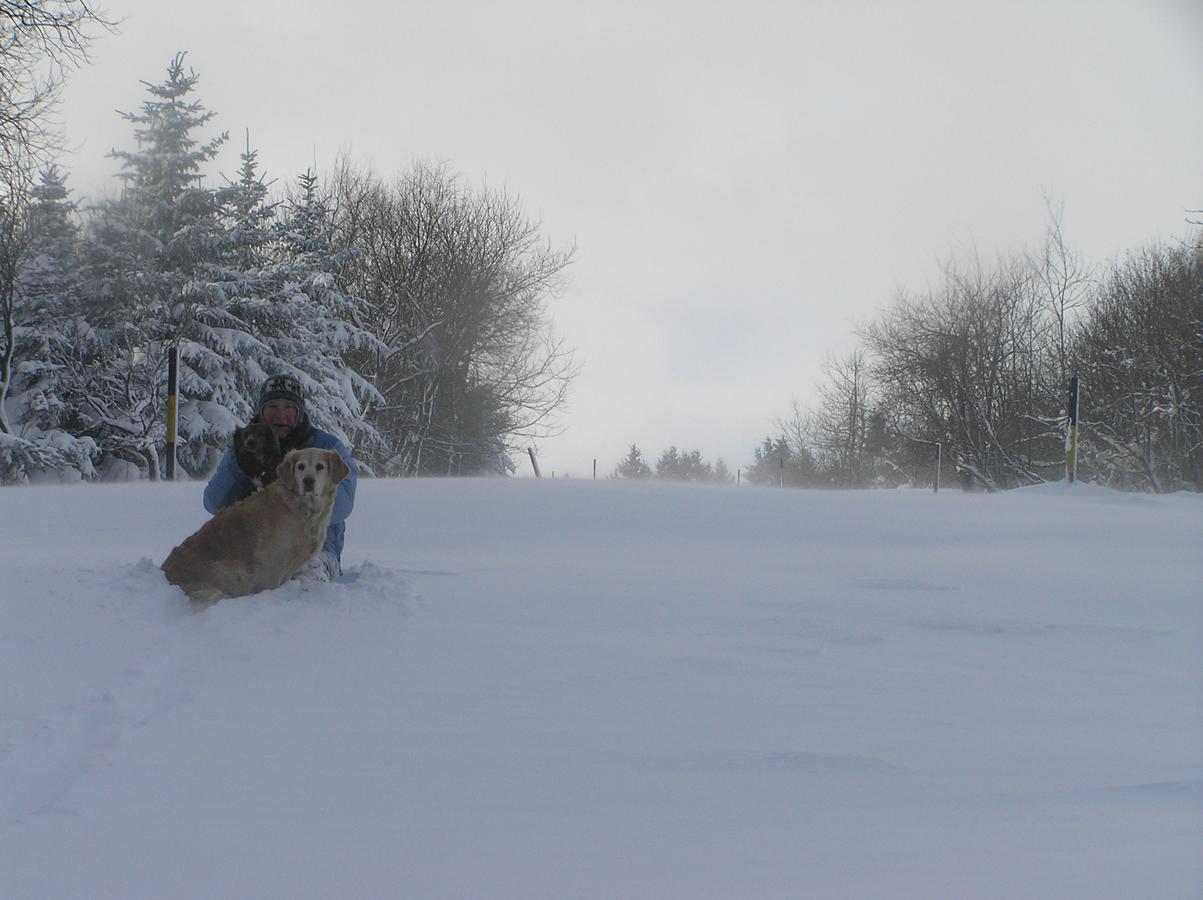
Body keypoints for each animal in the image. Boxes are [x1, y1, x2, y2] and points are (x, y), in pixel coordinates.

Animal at [161, 447, 348, 608]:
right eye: (300, 466)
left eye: (320, 466)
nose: (308, 481)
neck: (302, 508)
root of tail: (165, 572)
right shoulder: (270, 562)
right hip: (236, 573)